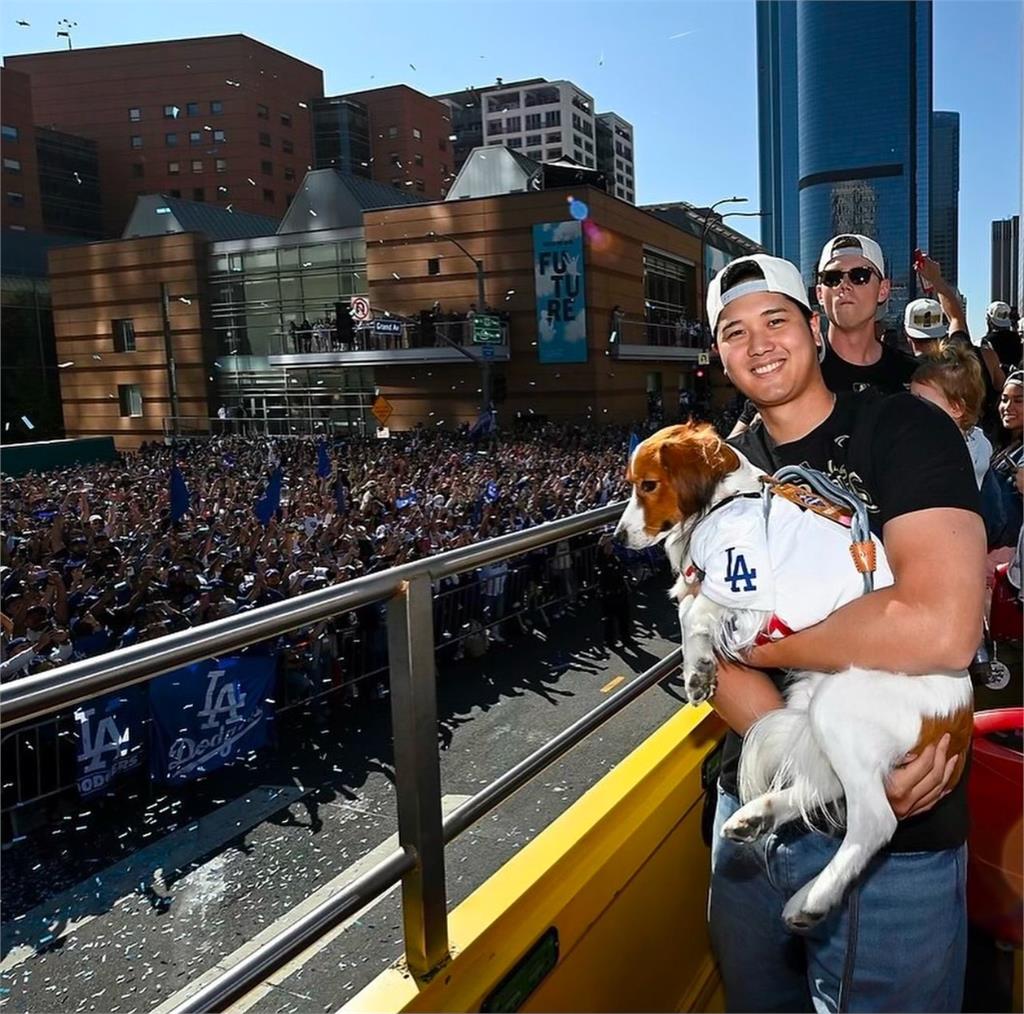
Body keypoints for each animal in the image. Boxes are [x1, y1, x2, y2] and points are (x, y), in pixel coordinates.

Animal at [610, 424, 970, 934]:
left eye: (648, 485)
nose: (617, 538)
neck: (725, 499)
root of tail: (961, 718)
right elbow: (689, 610)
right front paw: (700, 669)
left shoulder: (746, 584)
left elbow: (693, 607)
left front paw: (697, 665)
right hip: (814, 705)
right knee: (830, 787)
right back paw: (757, 817)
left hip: (837, 704)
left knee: (874, 819)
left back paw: (812, 899)